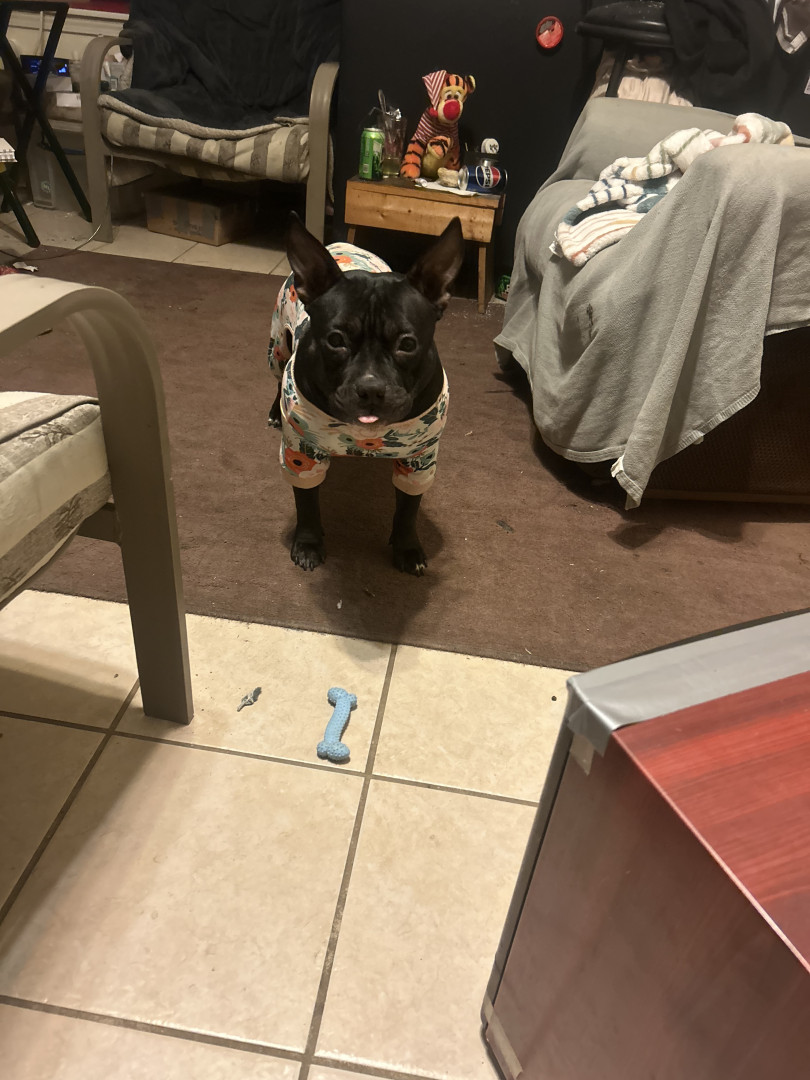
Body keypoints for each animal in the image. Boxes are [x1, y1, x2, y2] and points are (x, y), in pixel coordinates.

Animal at [268, 213, 464, 575]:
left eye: (408, 344)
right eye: (335, 340)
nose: (371, 388)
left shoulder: (421, 457)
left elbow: (409, 508)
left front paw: (407, 547)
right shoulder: (300, 450)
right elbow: (307, 501)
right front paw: (308, 544)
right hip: (277, 346)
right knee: (276, 375)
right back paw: (275, 411)